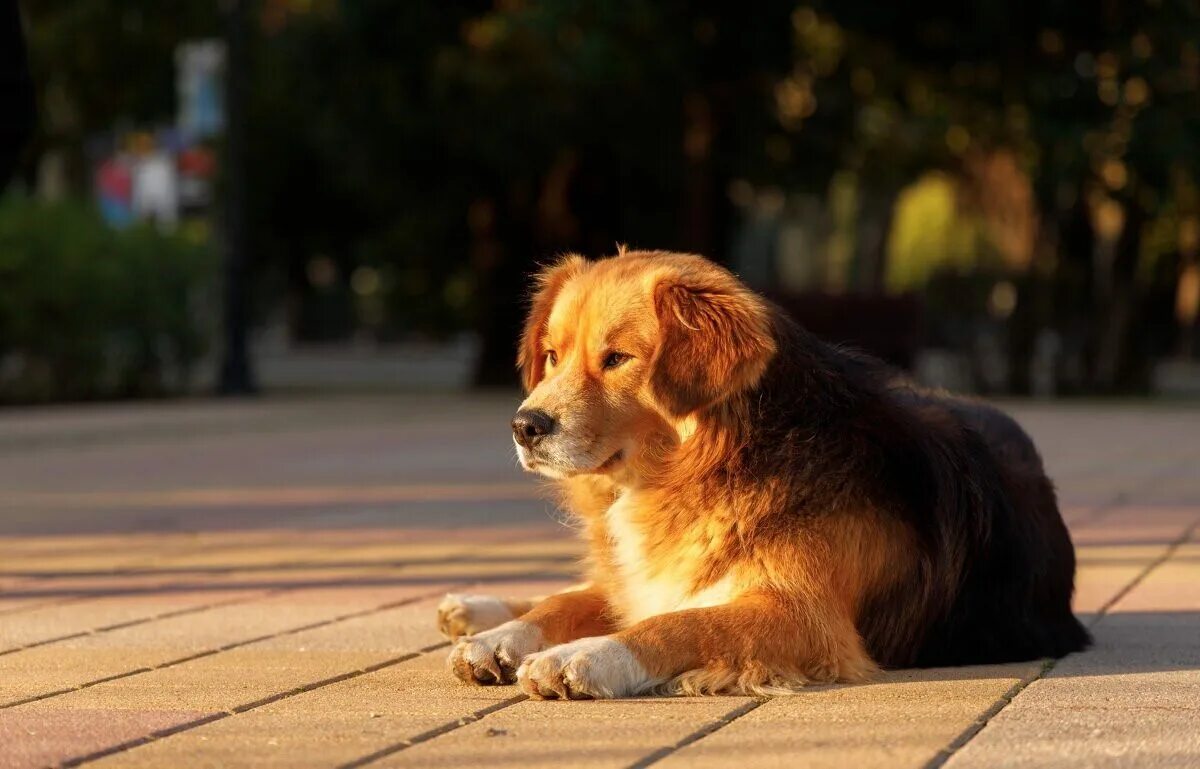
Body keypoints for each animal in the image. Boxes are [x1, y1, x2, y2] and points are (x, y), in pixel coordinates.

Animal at [439, 249, 1089, 700]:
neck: (711, 468)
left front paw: (585, 657)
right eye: (551, 356)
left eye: (618, 359)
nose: (525, 425)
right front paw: (500, 640)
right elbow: (564, 603)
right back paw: (475, 610)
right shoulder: (653, 579)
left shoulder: (805, 618)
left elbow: (678, 625)